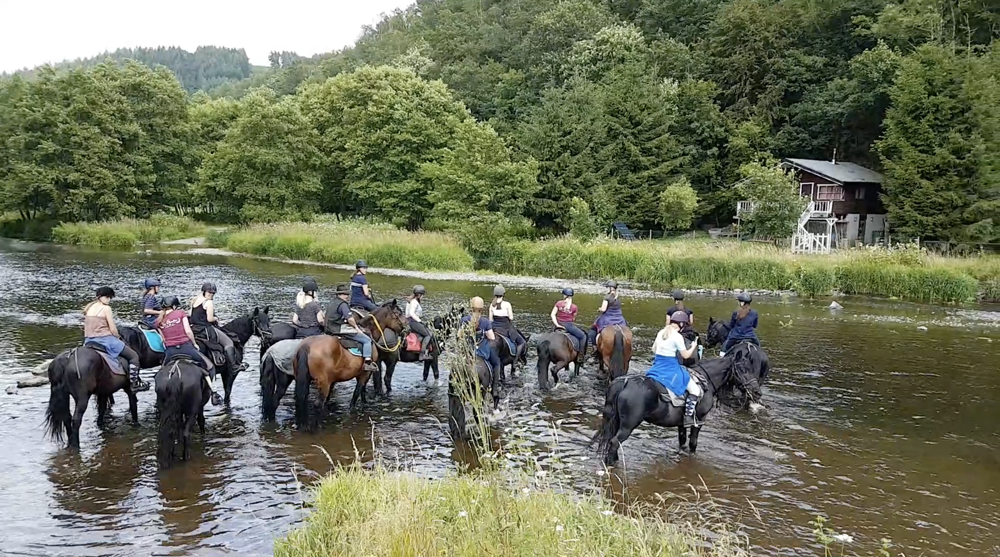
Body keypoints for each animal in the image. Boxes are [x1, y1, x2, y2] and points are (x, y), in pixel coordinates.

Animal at [292, 302, 406, 432]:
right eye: (398, 314)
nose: (405, 329)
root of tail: (306, 346)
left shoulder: (340, 378)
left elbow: (360, 391)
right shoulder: (365, 373)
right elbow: (357, 392)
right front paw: (353, 409)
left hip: (304, 379)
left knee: (301, 399)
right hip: (323, 382)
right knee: (317, 404)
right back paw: (318, 427)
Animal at [592, 353, 761, 465]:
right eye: (743, 369)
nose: (757, 392)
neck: (705, 381)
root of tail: (624, 383)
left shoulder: (682, 423)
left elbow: (682, 442)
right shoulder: (699, 420)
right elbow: (693, 443)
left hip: (617, 421)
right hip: (628, 425)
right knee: (614, 442)